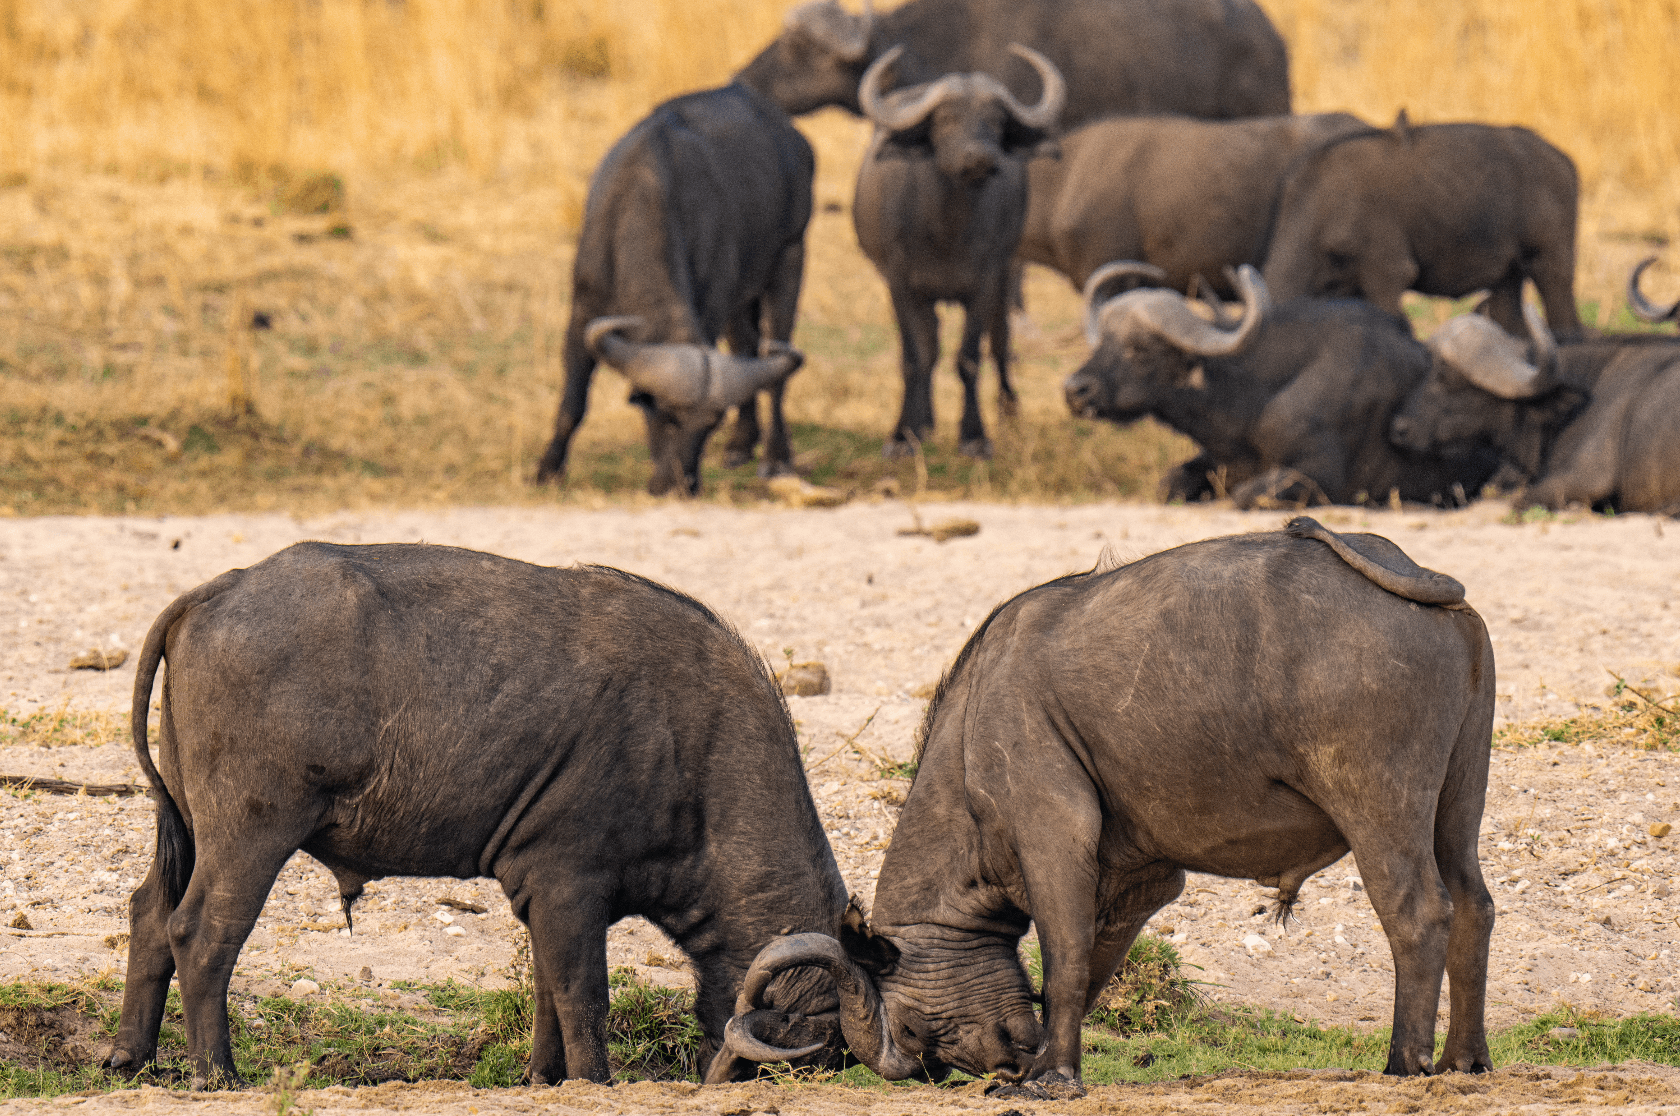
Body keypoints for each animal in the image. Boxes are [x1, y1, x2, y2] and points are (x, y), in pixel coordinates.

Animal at [102, 543, 850, 1088]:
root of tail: (222, 588)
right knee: (200, 933)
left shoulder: (543, 895)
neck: (692, 749)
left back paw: (130, 1058)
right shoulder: (569, 884)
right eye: (826, 1049)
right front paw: (595, 1082)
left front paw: (543, 1079)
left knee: (149, 912)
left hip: (185, 825)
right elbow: (583, 993)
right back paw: (219, 1075)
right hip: (250, 834)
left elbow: (548, 990)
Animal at [534, 82, 812, 496]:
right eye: (665, 416)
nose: (680, 487)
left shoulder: (714, 301)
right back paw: (740, 446)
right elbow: (573, 403)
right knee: (745, 346)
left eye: (711, 423)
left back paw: (776, 458)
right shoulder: (583, 311)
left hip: (790, 256)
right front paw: (547, 470)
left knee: (774, 366)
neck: (645, 195)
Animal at [721, 516, 1496, 1092]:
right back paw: (1464, 1060)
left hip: (1379, 810)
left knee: (1418, 912)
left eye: (914, 1034)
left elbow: (1063, 960)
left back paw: (1403, 1064)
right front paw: (1045, 1063)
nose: (990, 1063)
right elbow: (1091, 967)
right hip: (1456, 809)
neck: (972, 729)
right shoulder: (1140, 878)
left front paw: (1047, 1078)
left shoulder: (1054, 835)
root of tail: (1402, 567)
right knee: (1474, 906)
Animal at [853, 44, 1064, 458]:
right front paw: (903, 435)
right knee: (930, 346)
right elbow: (914, 357)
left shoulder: (985, 282)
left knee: (1000, 343)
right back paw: (925, 422)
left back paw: (1008, 412)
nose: (980, 158)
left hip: (1006, 275)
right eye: (946, 119)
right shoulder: (899, 282)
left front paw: (974, 436)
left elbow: (969, 357)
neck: (946, 230)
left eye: (996, 121)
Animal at [1063, 263, 1498, 507]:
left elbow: (1243, 496)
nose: (1074, 390)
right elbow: (1167, 484)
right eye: (1102, 341)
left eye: (1139, 349)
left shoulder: (1317, 475)